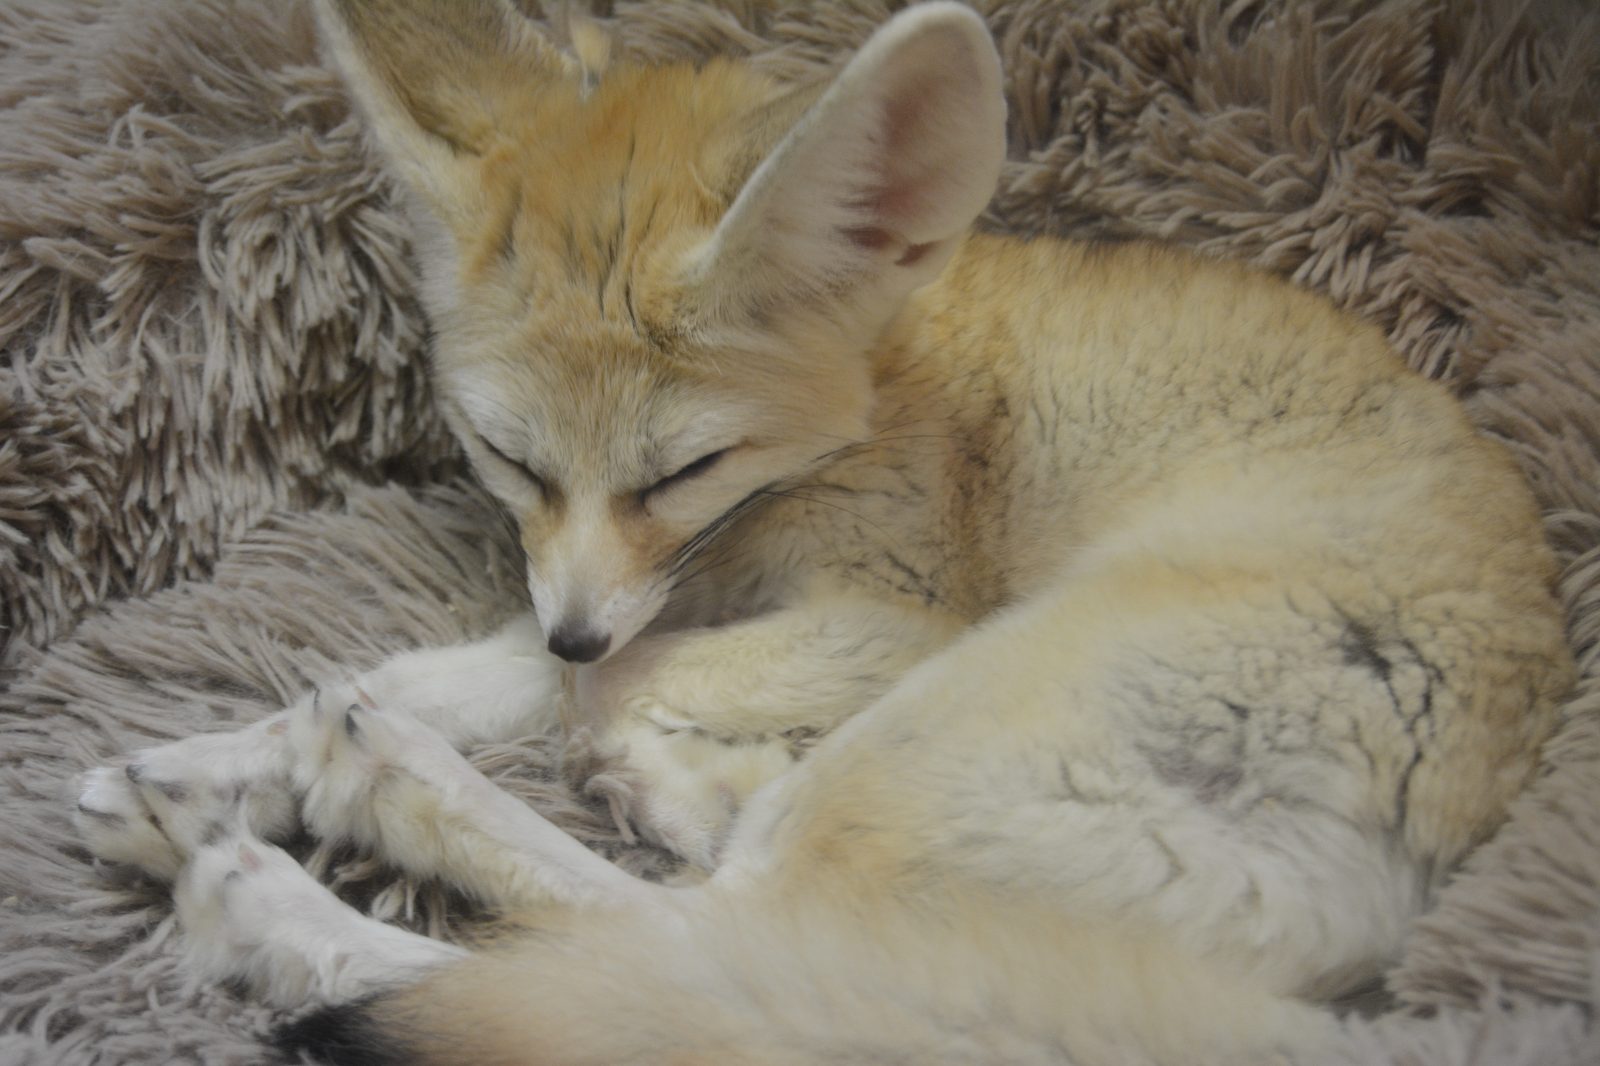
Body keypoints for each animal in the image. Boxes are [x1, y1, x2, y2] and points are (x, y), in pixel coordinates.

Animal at [71, 1, 1575, 1063]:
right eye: (510, 458)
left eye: (684, 466)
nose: (577, 628)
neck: (879, 385)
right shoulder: (645, 585)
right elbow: (436, 672)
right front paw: (200, 766)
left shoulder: (887, 611)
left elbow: (567, 688)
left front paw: (309, 776)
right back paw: (655, 789)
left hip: (938, 715)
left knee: (693, 953)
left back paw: (310, 878)